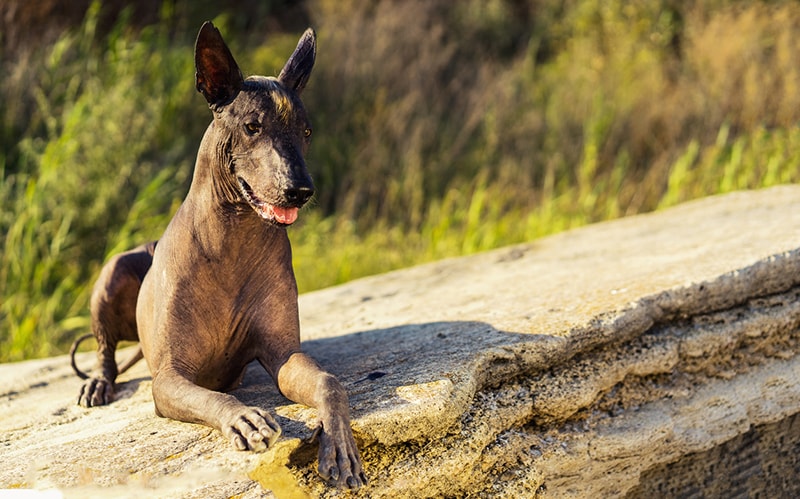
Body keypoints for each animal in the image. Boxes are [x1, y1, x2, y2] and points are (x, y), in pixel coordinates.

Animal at [70, 21, 368, 490]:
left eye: (306, 132)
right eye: (252, 126)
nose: (301, 190)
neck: (234, 238)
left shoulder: (283, 356)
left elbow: (329, 382)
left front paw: (339, 445)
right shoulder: (169, 379)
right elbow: (213, 397)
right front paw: (246, 418)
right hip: (114, 271)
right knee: (104, 349)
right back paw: (99, 383)